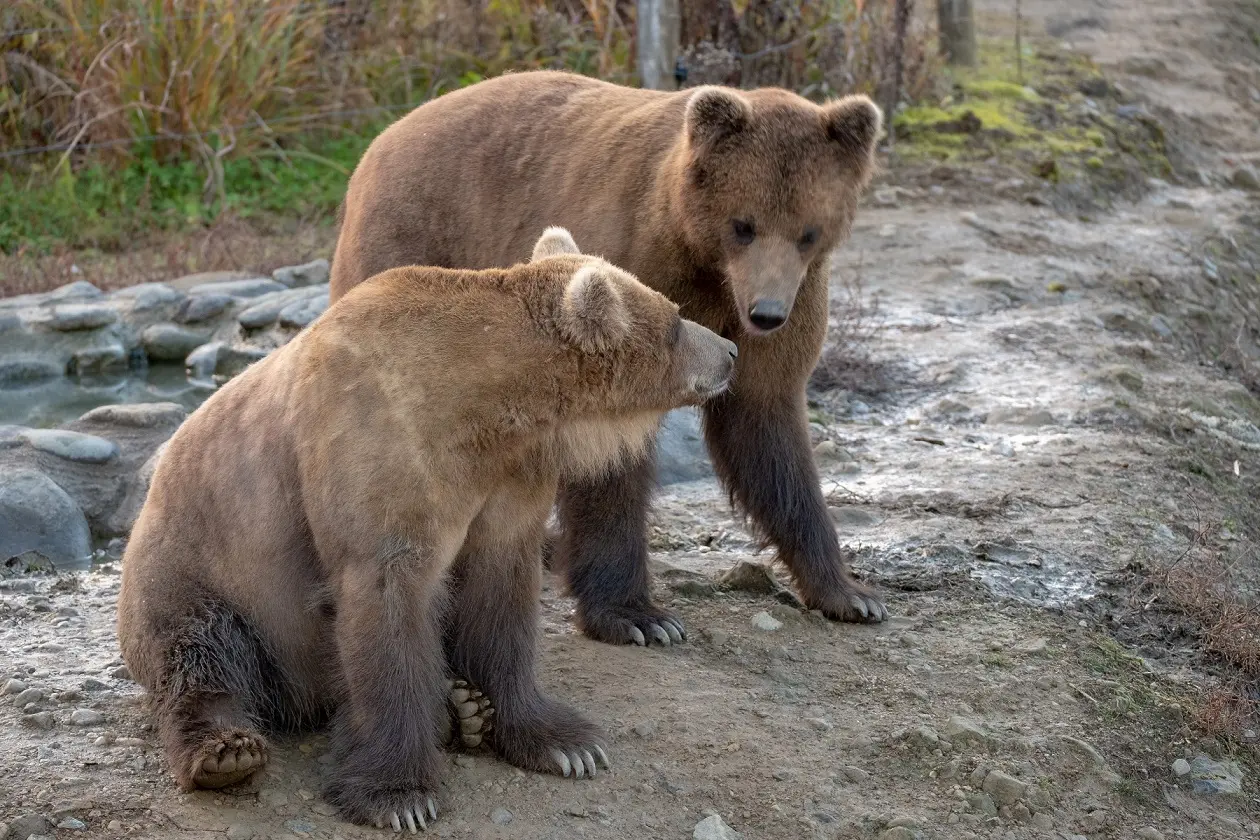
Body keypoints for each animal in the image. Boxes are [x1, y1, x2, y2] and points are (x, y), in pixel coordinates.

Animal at [115, 226, 735, 831]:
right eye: (676, 321)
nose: (730, 351)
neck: (486, 410)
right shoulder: (381, 453)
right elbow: (388, 611)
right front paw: (399, 795)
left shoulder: (507, 482)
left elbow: (501, 599)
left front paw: (562, 743)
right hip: (198, 575)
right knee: (198, 658)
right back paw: (227, 751)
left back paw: (461, 709)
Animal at [335, 70, 887, 644]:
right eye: (743, 224)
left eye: (808, 231)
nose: (767, 313)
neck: (704, 261)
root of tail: (384, 136)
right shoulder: (630, 263)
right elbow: (611, 455)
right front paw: (639, 617)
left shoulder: (789, 304)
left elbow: (769, 431)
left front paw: (849, 593)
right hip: (418, 240)